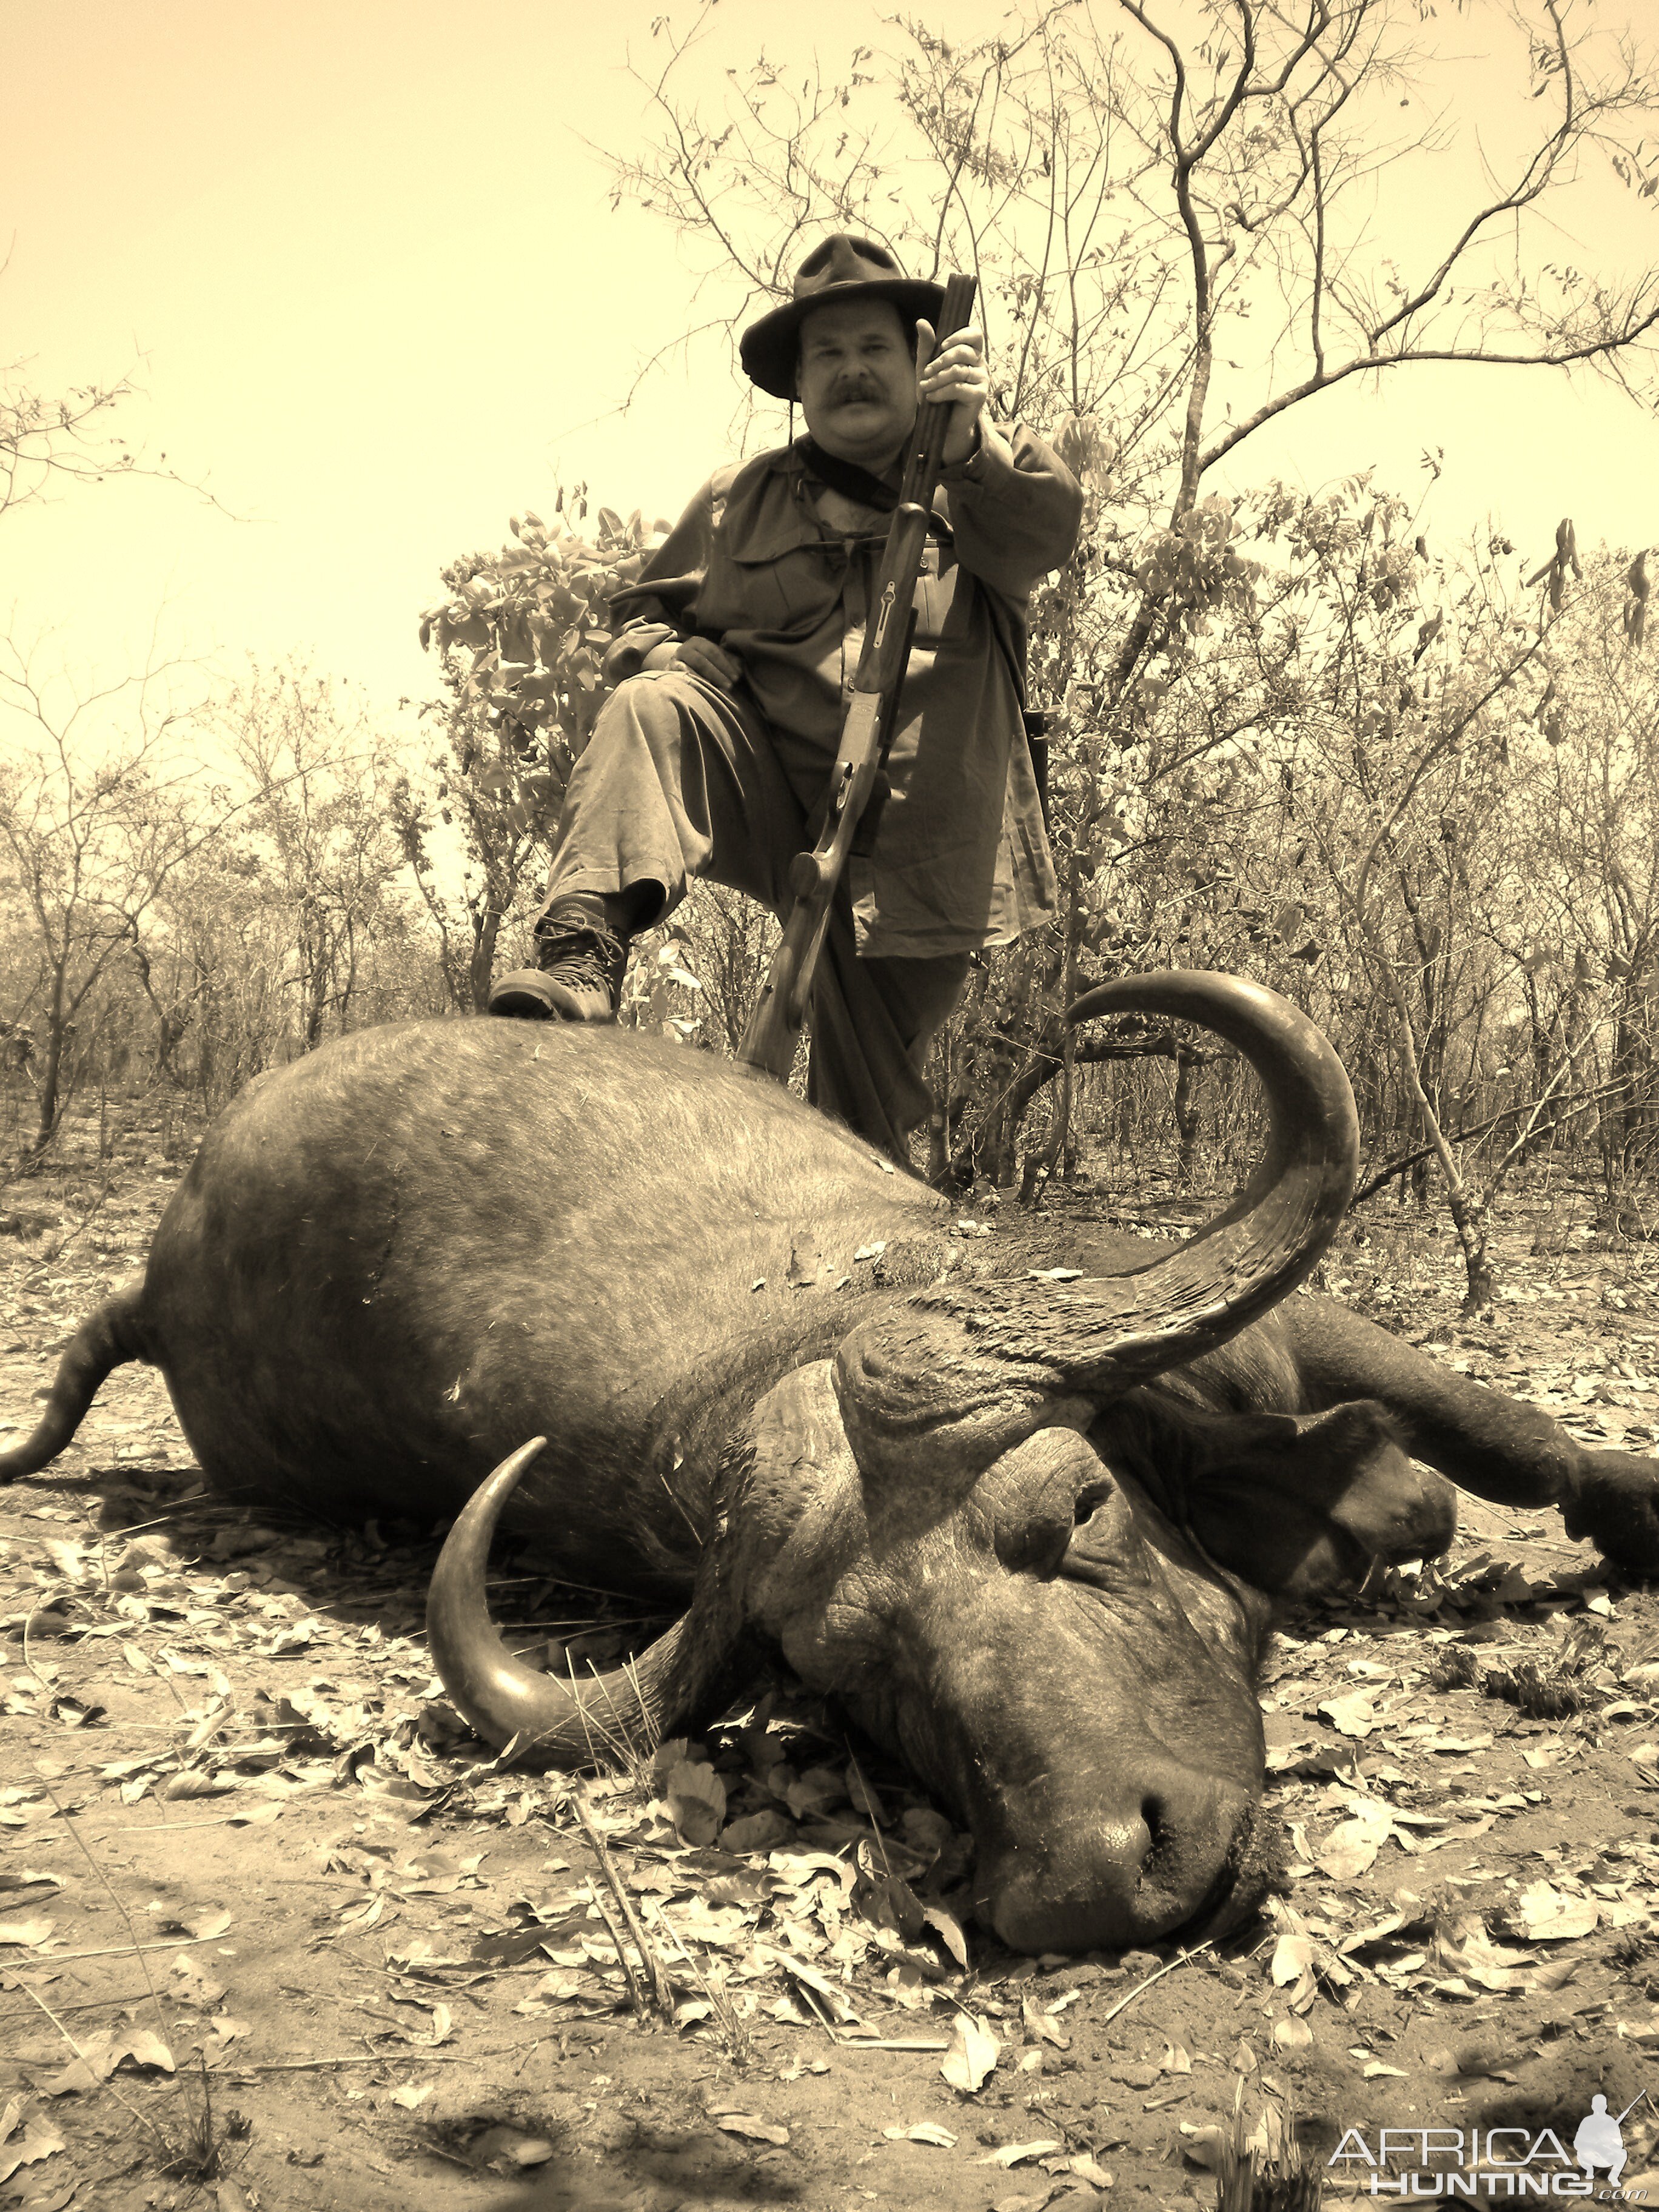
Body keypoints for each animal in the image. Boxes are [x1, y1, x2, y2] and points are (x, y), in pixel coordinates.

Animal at [3, 973, 1659, 1955]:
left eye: (1076, 1506)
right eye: (853, 1679)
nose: (1098, 1877)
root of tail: (155, 1277)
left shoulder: (1277, 1321)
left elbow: (1499, 1430)